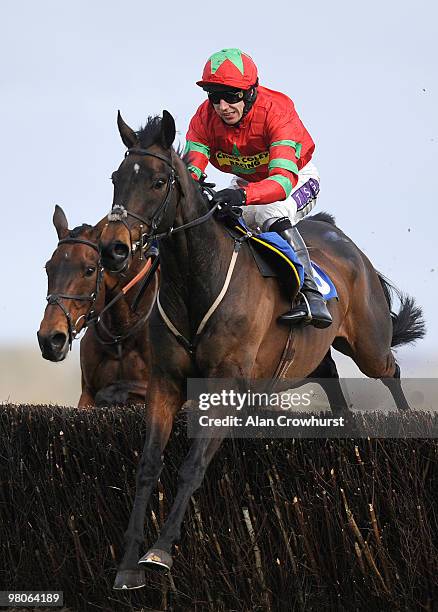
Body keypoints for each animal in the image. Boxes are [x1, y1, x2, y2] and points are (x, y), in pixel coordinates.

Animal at [36, 204, 158, 406]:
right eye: (48, 268)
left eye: (90, 270)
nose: (50, 339)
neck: (120, 336)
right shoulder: (86, 393)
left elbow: (115, 390)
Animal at [99, 111, 424, 588]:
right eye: (116, 178)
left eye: (159, 182)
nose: (114, 249)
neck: (196, 277)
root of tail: (342, 238)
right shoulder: (165, 381)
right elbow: (148, 466)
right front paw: (127, 565)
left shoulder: (224, 385)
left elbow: (192, 464)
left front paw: (159, 552)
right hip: (315, 358)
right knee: (335, 388)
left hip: (368, 344)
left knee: (392, 372)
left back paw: (407, 422)